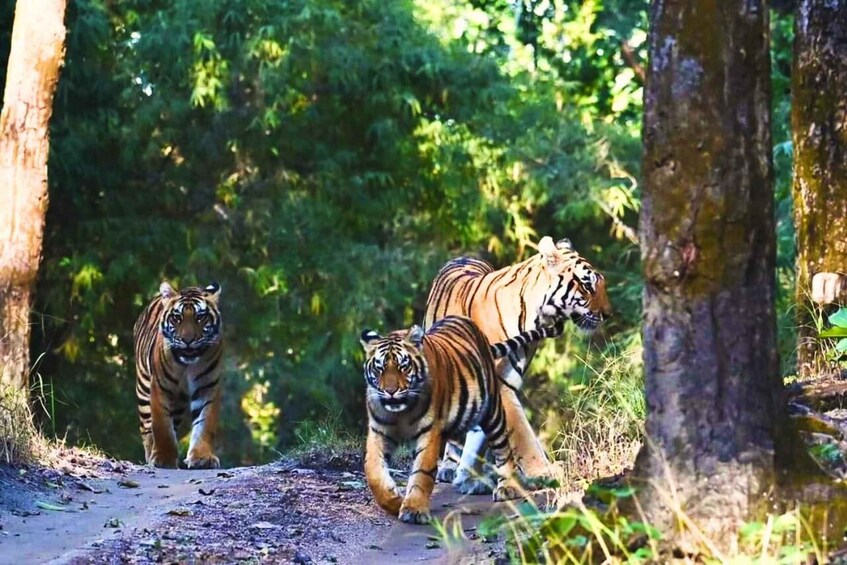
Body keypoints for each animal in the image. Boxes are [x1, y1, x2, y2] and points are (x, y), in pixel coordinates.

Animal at [134, 280, 225, 470]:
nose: (187, 340)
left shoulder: (208, 387)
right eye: (177, 318)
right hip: (144, 390)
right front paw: (163, 459)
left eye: (200, 317)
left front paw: (202, 458)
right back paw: (150, 455)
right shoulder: (160, 387)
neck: (187, 365)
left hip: (178, 401)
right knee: (147, 429)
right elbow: (162, 426)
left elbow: (205, 423)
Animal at [362, 316, 568, 524]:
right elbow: (373, 471)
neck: (401, 412)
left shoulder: (430, 433)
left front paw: (414, 509)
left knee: (503, 449)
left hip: (492, 411)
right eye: (379, 369)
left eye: (403, 366)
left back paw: (505, 487)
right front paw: (394, 502)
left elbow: (422, 473)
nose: (390, 391)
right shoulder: (379, 431)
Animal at [422, 234, 608, 490]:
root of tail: (463, 256)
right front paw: (544, 472)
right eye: (587, 285)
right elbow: (522, 434)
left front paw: (478, 477)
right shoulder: (499, 383)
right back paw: (450, 468)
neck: (537, 316)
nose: (607, 314)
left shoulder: (505, 379)